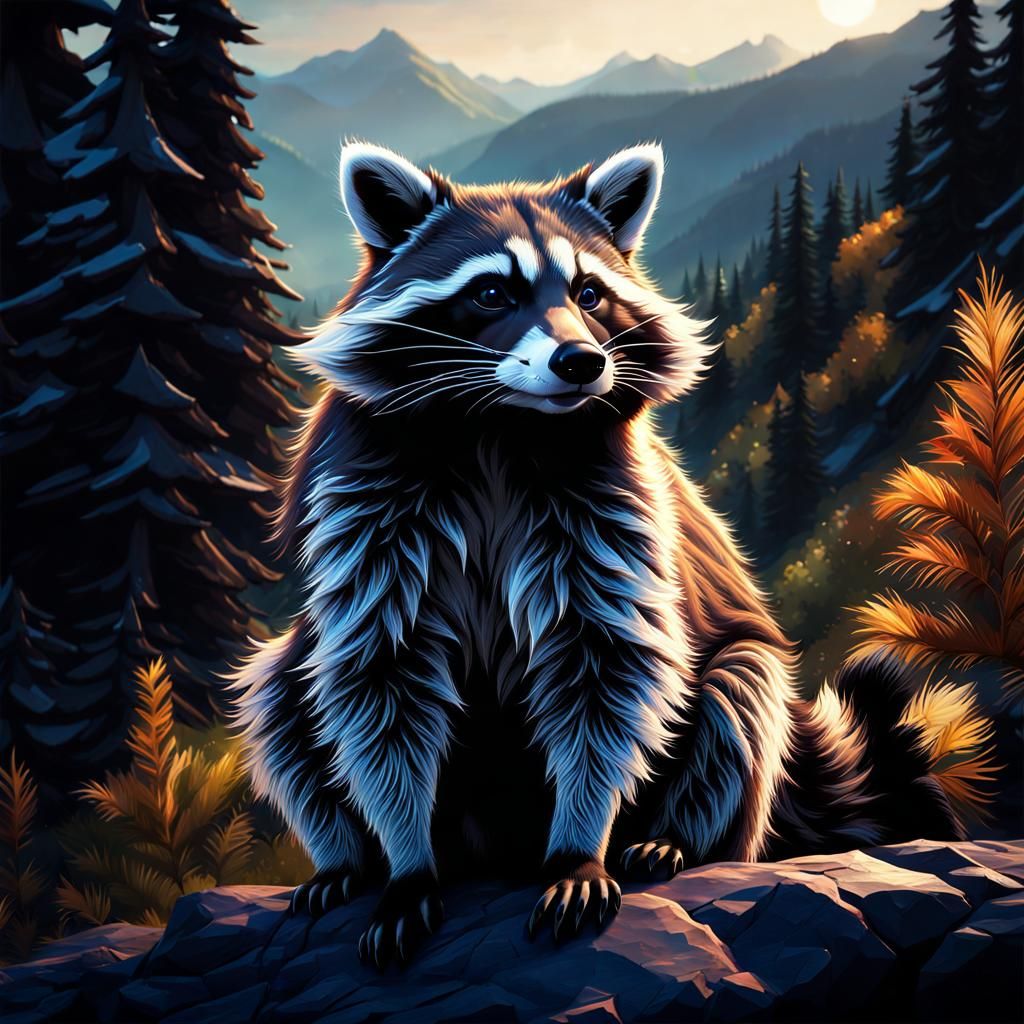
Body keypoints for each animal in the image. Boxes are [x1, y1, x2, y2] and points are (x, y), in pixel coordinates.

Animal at [230, 141, 984, 968]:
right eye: (490, 292)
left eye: (589, 293)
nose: (581, 362)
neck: (499, 426)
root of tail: (496, 851)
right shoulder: (371, 508)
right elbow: (381, 678)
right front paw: (406, 860)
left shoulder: (609, 513)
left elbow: (606, 672)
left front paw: (579, 845)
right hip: (302, 662)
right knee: (281, 690)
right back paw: (348, 860)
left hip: (742, 690)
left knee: (739, 690)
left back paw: (677, 838)